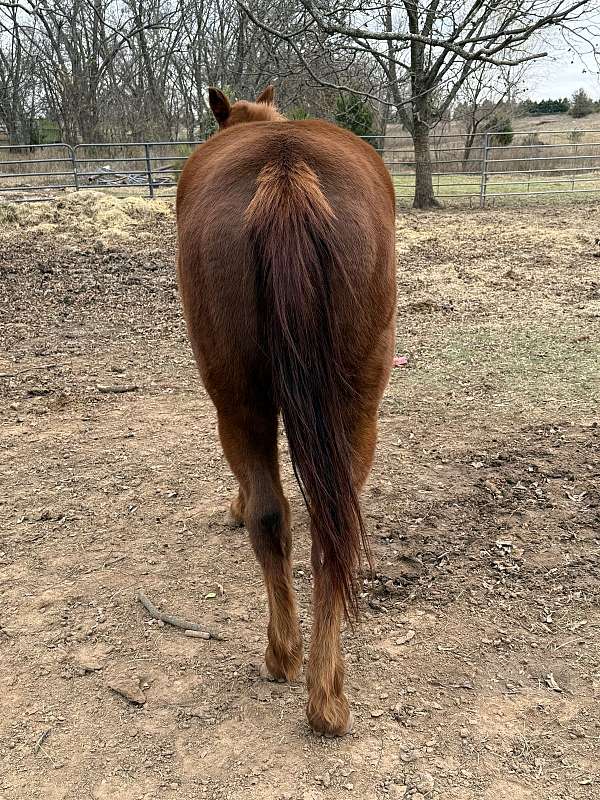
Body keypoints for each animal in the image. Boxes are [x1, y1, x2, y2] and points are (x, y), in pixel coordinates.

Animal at [176, 85, 396, 736]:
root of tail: (285, 169)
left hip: (241, 400)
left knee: (283, 518)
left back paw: (296, 669)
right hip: (350, 405)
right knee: (325, 526)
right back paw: (318, 688)